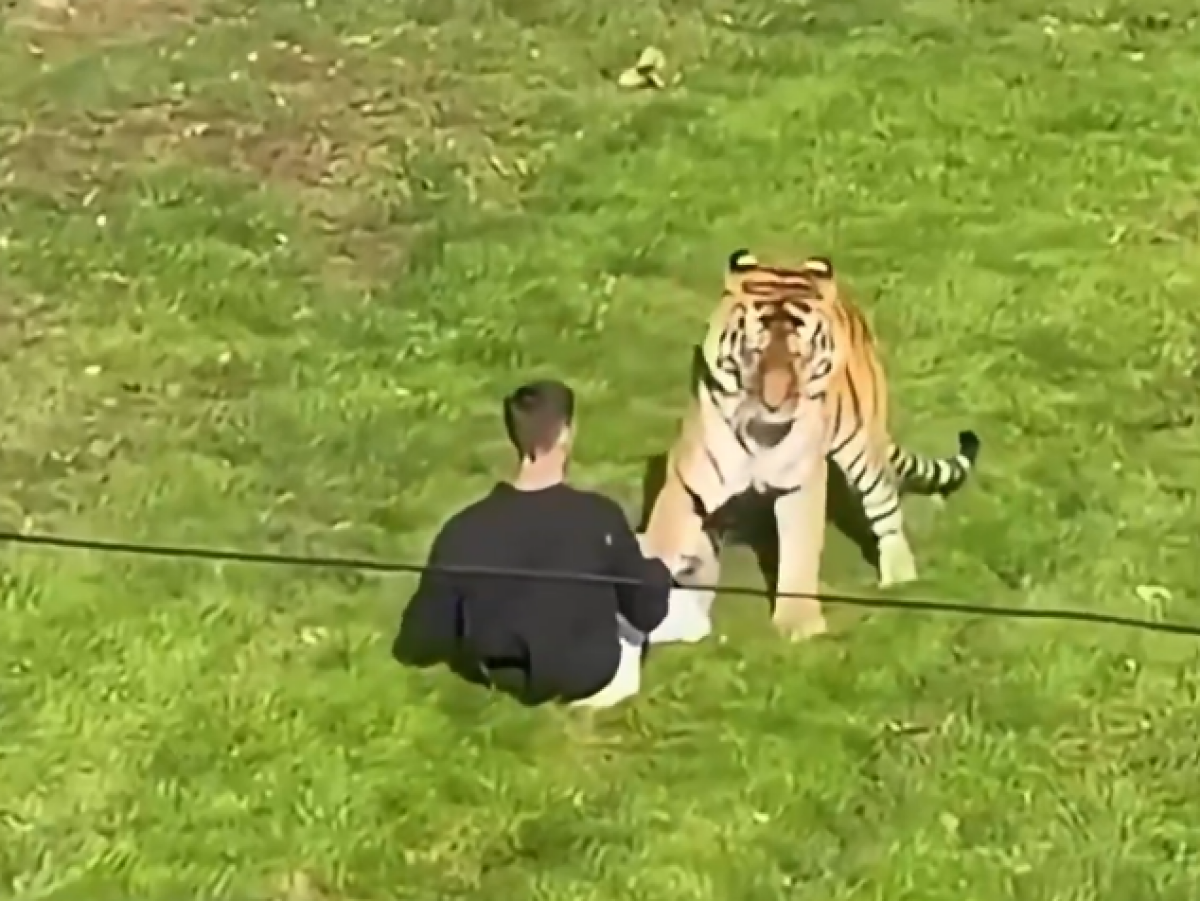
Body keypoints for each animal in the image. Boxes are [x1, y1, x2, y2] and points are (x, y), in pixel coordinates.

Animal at [638, 249, 980, 642]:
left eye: (799, 356)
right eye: (754, 353)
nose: (774, 404)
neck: (760, 433)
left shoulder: (801, 483)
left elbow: (799, 553)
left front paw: (799, 625)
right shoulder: (688, 479)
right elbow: (666, 534)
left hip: (862, 448)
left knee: (886, 509)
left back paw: (900, 579)